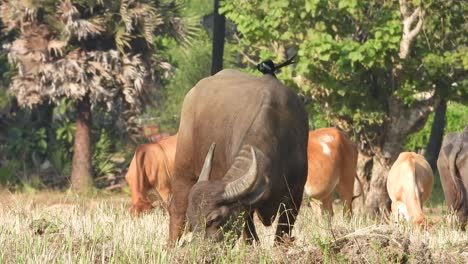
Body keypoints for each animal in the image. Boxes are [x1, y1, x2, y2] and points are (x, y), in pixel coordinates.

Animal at [166, 69, 308, 244]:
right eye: (193, 220)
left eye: (214, 219)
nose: (199, 248)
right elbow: (251, 238)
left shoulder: (295, 195)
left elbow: (282, 236)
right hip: (183, 169)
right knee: (177, 211)